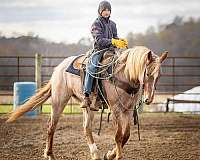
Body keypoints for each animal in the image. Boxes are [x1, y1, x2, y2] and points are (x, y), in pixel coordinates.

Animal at [6, 45, 167, 159]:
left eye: (159, 75)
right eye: (147, 73)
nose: (148, 99)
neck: (124, 74)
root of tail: (59, 67)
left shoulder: (128, 110)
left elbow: (126, 135)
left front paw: (109, 154)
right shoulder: (115, 110)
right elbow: (118, 135)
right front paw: (116, 156)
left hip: (88, 106)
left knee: (86, 128)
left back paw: (95, 154)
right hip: (59, 100)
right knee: (51, 126)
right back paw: (50, 154)